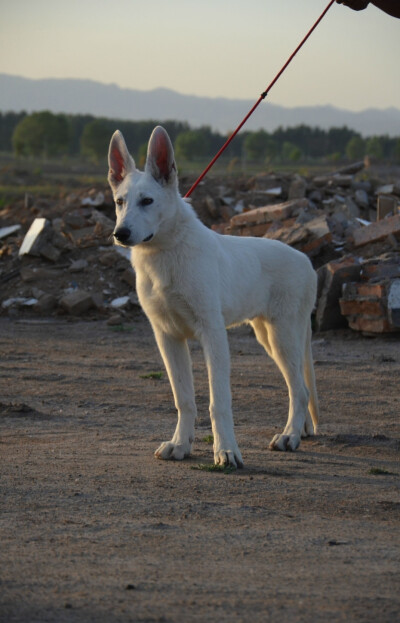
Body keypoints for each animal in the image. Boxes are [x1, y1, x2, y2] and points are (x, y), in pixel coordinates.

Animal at [107, 127, 318, 468]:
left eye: (148, 201)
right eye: (120, 202)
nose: (120, 234)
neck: (165, 253)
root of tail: (307, 261)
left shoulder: (213, 334)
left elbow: (218, 402)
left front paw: (226, 450)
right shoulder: (167, 337)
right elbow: (184, 399)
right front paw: (181, 444)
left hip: (283, 337)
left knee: (299, 390)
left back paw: (289, 436)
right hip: (269, 337)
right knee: (302, 385)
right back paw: (303, 430)